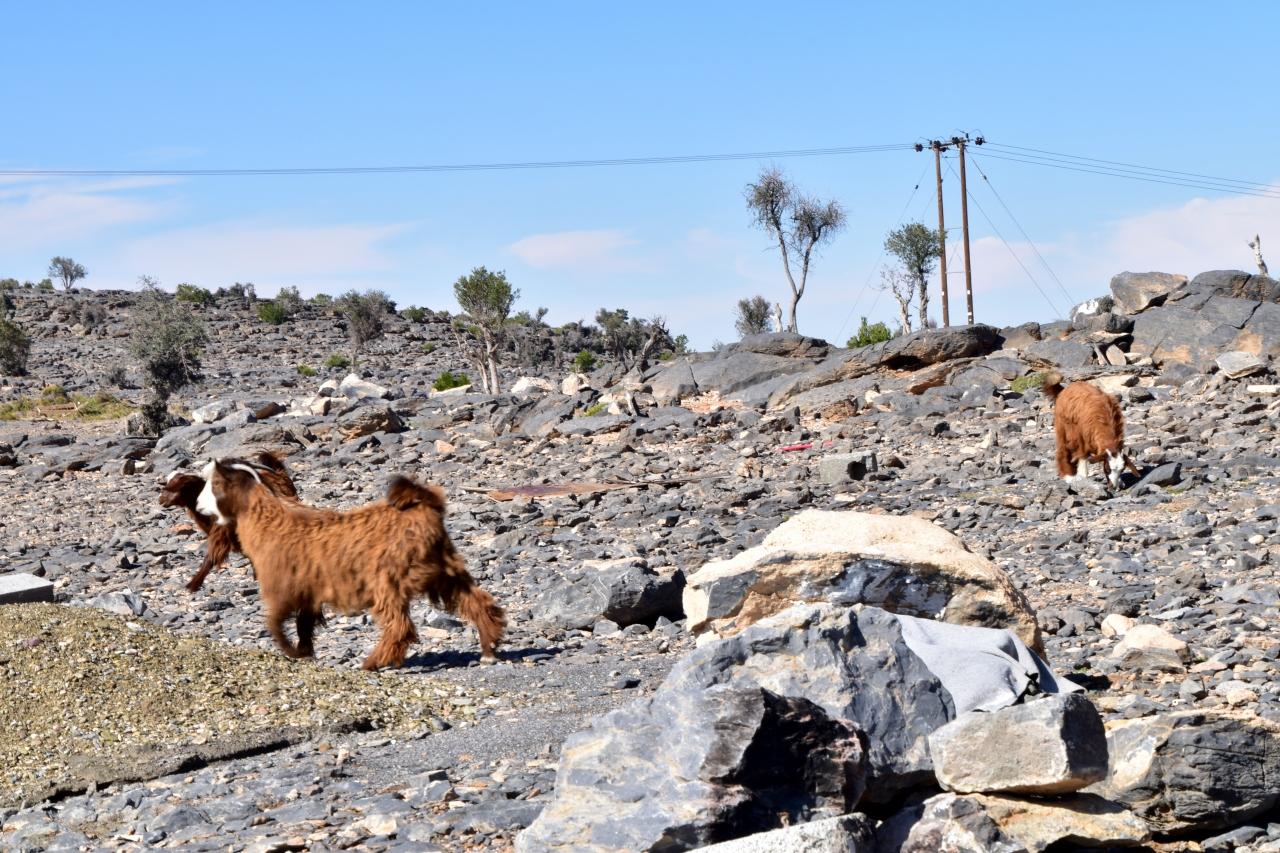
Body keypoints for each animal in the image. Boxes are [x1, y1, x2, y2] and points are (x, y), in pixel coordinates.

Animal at [197, 459, 506, 670]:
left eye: (213, 486)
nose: (199, 506)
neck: (266, 518)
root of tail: (425, 509)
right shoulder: (310, 590)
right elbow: (304, 623)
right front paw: (305, 651)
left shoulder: (283, 584)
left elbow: (275, 622)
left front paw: (293, 652)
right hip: (445, 569)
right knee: (477, 602)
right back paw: (489, 648)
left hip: (389, 576)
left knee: (400, 626)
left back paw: (373, 662)